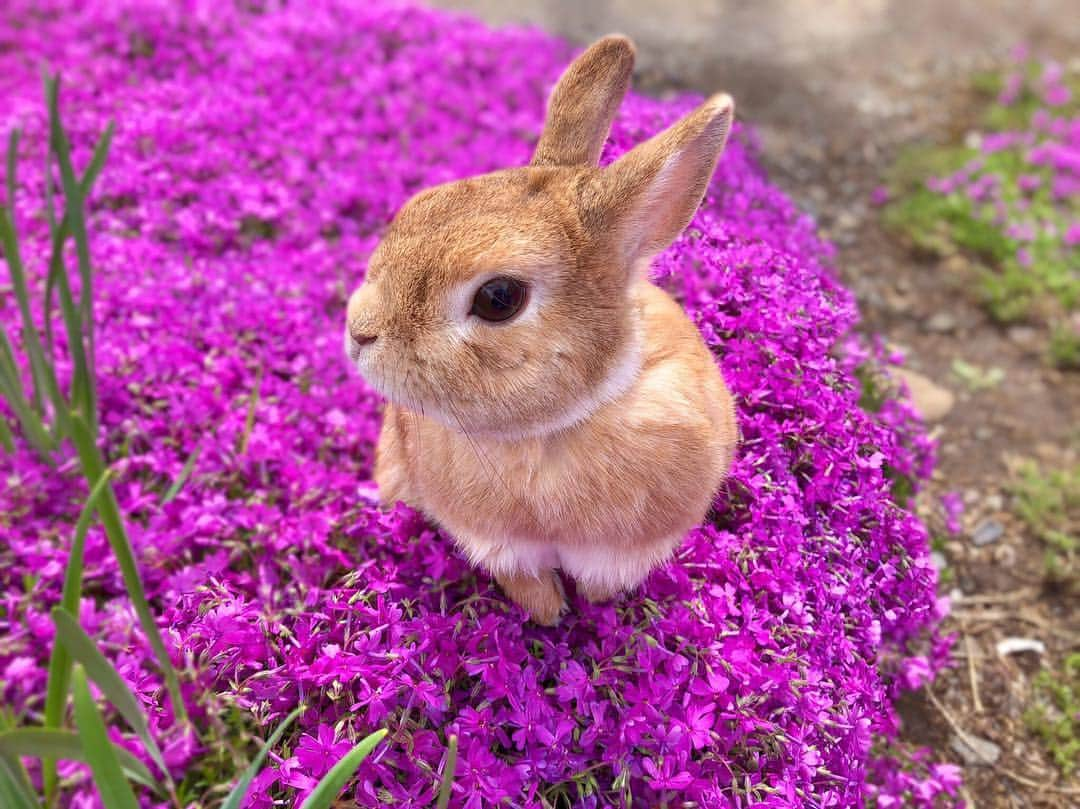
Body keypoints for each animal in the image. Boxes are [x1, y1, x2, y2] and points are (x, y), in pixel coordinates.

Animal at [345, 33, 743, 626]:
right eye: (418, 205)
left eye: (498, 298)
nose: (359, 332)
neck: (551, 430)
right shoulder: (498, 545)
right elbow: (529, 586)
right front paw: (552, 616)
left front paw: (584, 612)